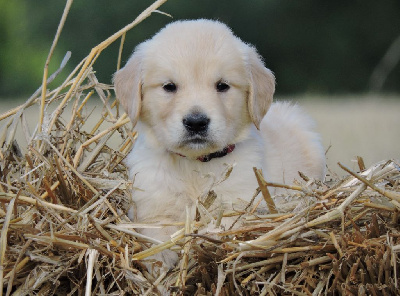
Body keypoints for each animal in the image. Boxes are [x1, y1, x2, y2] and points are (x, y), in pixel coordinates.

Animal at [114, 18, 326, 268]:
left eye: (222, 86)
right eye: (169, 86)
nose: (196, 122)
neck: (196, 164)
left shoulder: (242, 205)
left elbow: (220, 229)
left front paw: (203, 244)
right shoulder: (151, 207)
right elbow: (156, 234)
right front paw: (160, 258)